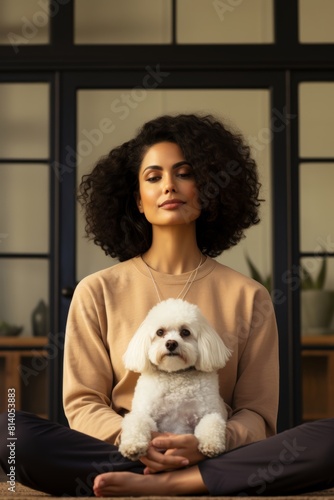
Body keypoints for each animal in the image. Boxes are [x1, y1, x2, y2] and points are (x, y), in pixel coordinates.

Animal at [118, 296, 231, 460]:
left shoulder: (210, 412)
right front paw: (132, 445)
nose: (171, 343)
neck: (175, 374)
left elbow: (212, 422)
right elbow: (137, 421)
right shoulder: (144, 413)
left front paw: (211, 445)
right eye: (160, 332)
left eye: (185, 332)